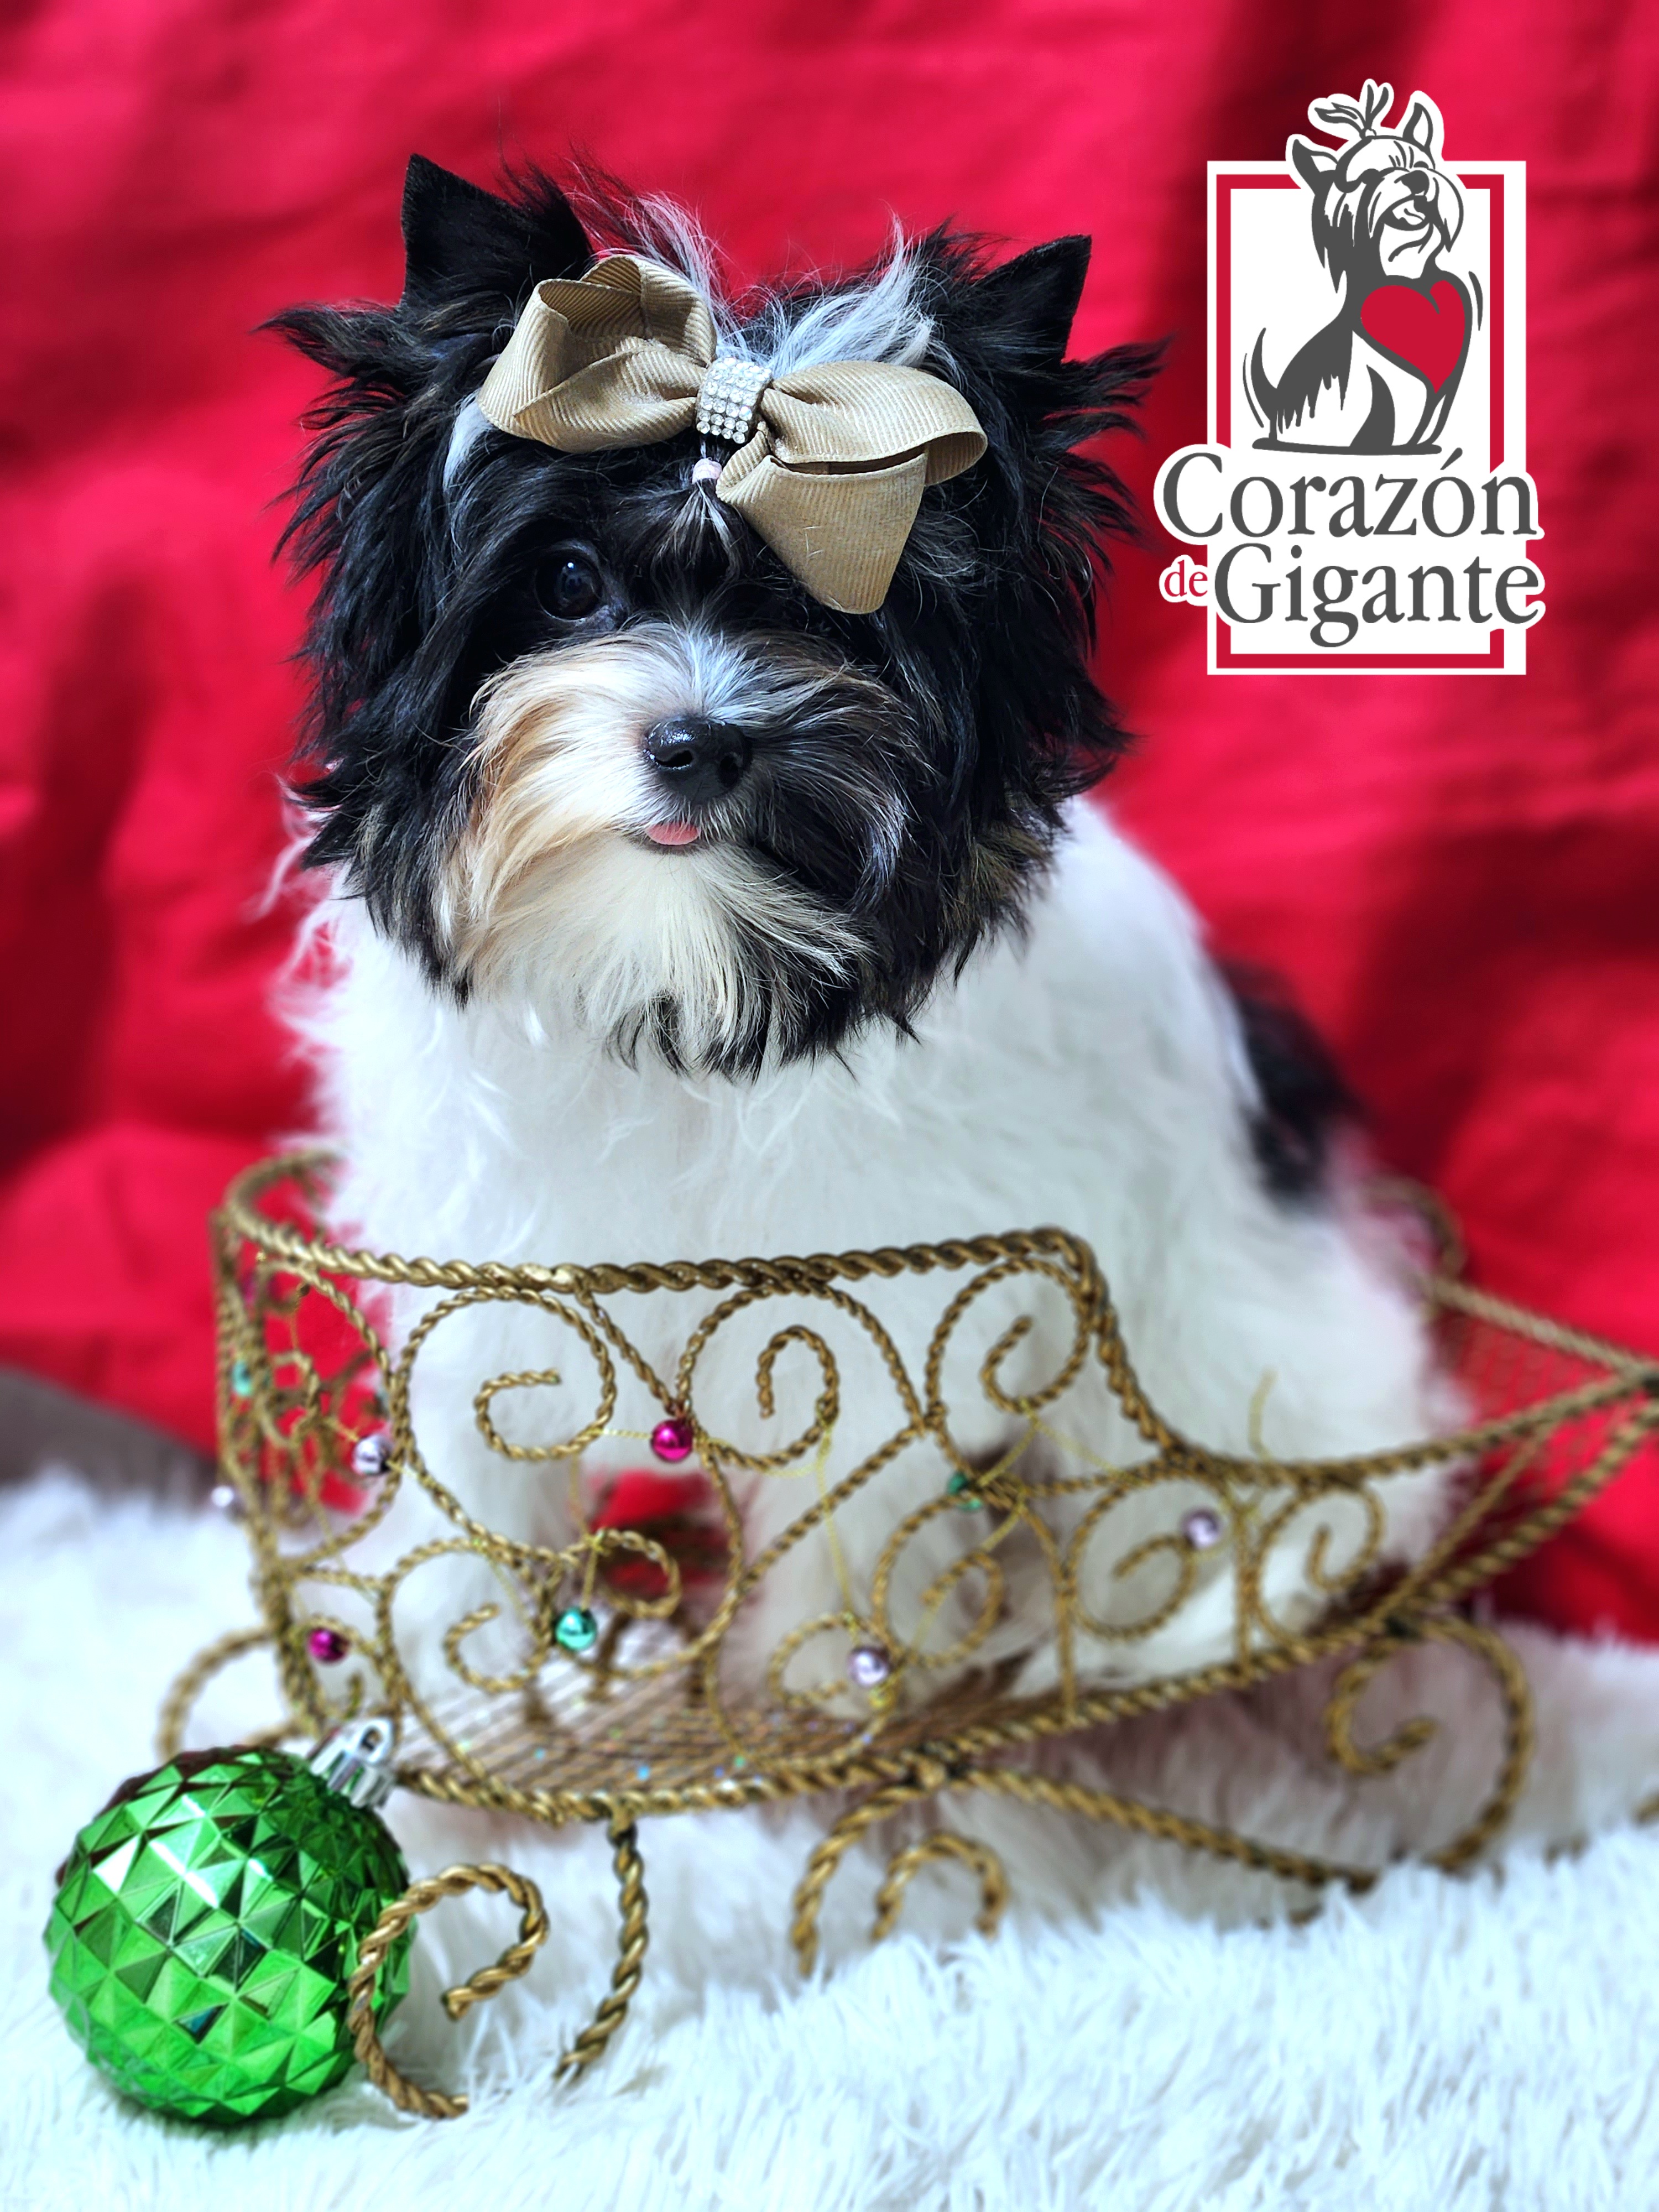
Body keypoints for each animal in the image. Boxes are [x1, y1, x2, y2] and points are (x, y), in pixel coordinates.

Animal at [274, 156, 1451, 1713]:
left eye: (833, 614)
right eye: (569, 581)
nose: (700, 741)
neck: (669, 969)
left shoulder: (888, 1281)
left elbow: (858, 1468)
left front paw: (839, 1666)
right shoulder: (487, 1243)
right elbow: (473, 1437)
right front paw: (447, 1639)